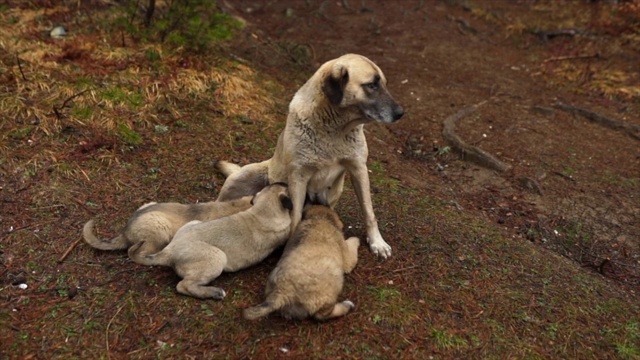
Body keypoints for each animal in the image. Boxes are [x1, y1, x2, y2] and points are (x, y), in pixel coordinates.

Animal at [128, 184, 292, 300]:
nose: (285, 182)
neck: (261, 213)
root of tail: (168, 251)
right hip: (217, 257)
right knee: (183, 286)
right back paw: (214, 292)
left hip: (192, 223)